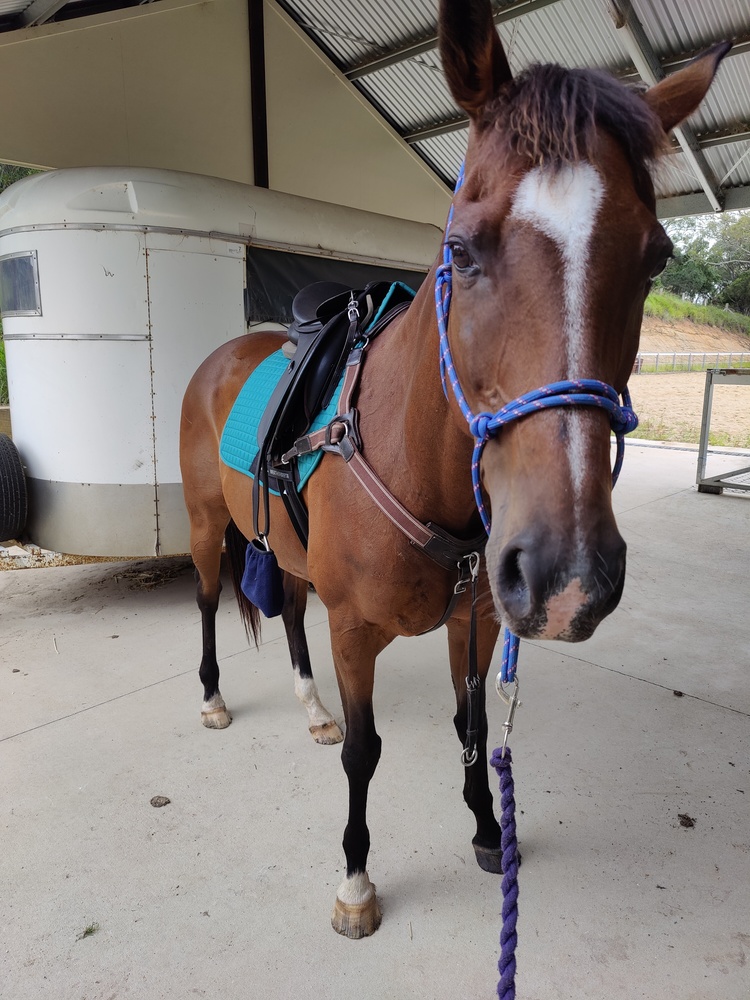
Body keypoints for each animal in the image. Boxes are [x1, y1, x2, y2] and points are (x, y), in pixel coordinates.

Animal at [179, 0, 728, 940]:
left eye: (656, 255)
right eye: (461, 250)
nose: (566, 574)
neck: (413, 459)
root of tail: (224, 354)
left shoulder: (476, 615)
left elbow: (472, 724)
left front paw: (485, 826)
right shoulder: (355, 629)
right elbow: (367, 751)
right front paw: (356, 880)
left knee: (287, 610)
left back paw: (310, 707)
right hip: (206, 526)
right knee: (215, 603)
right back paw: (217, 698)